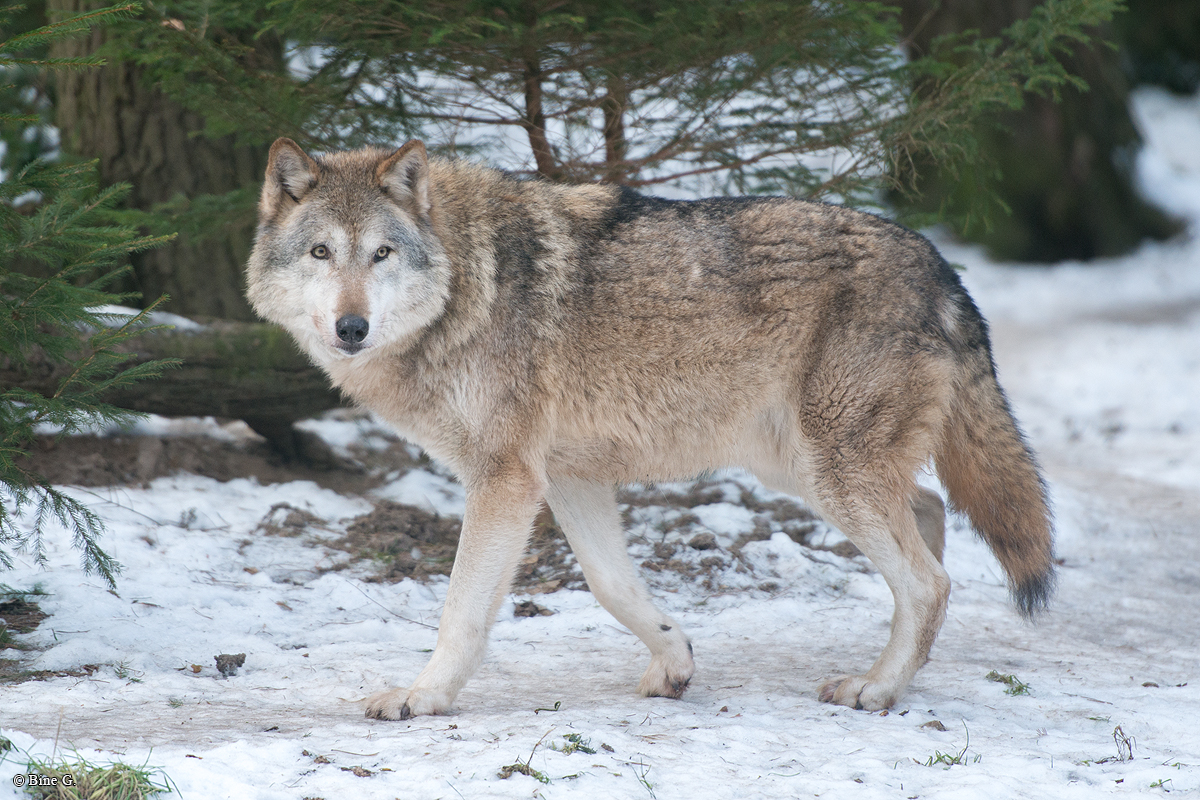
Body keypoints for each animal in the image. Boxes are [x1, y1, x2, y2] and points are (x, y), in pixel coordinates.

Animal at [246, 138, 1054, 719]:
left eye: (381, 253)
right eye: (322, 253)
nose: (352, 327)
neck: (466, 284)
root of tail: (943, 265)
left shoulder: (505, 481)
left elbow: (461, 613)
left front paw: (423, 697)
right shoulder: (566, 477)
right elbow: (611, 585)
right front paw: (675, 663)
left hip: (829, 474)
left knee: (930, 579)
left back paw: (879, 689)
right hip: (803, 469)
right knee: (930, 514)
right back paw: (909, 673)